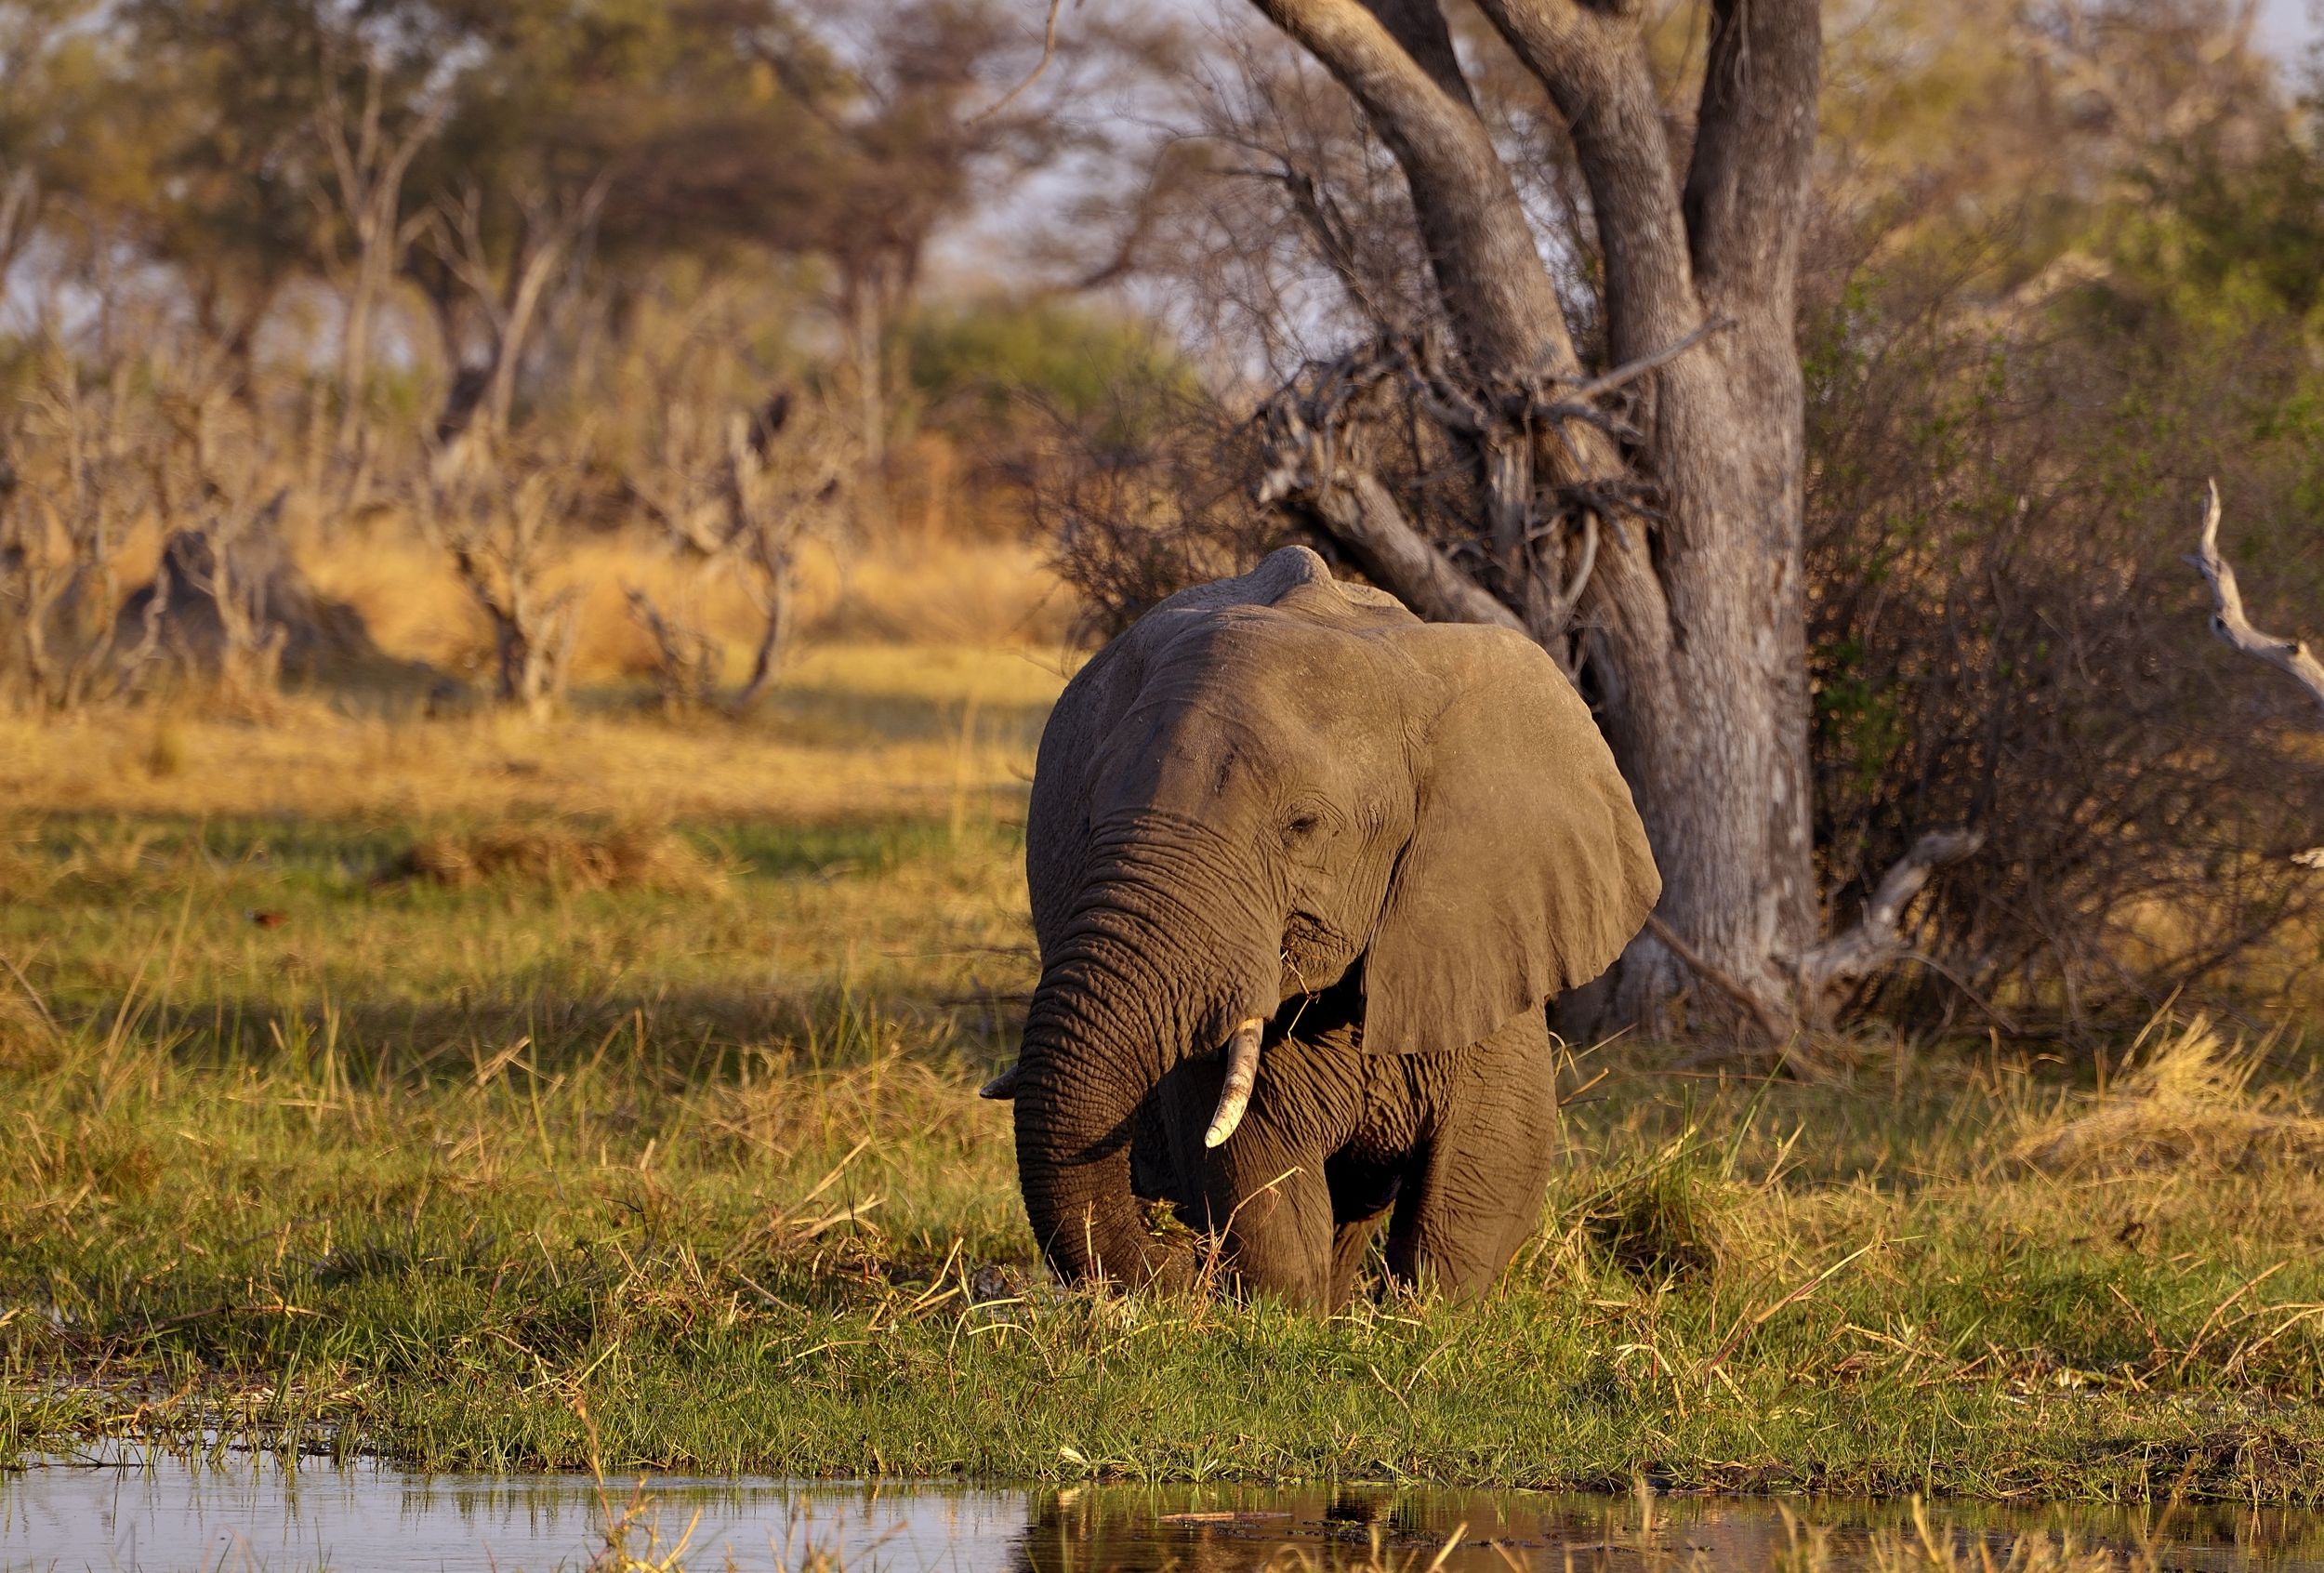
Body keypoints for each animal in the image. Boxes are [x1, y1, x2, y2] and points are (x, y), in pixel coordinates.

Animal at [981, 545, 1660, 1310]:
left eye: (1301, 827)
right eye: (1088, 817)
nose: (1183, 1267)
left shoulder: (1486, 917)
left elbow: (1485, 1182)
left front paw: (1422, 1316)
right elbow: (1263, 1192)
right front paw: (1287, 1310)